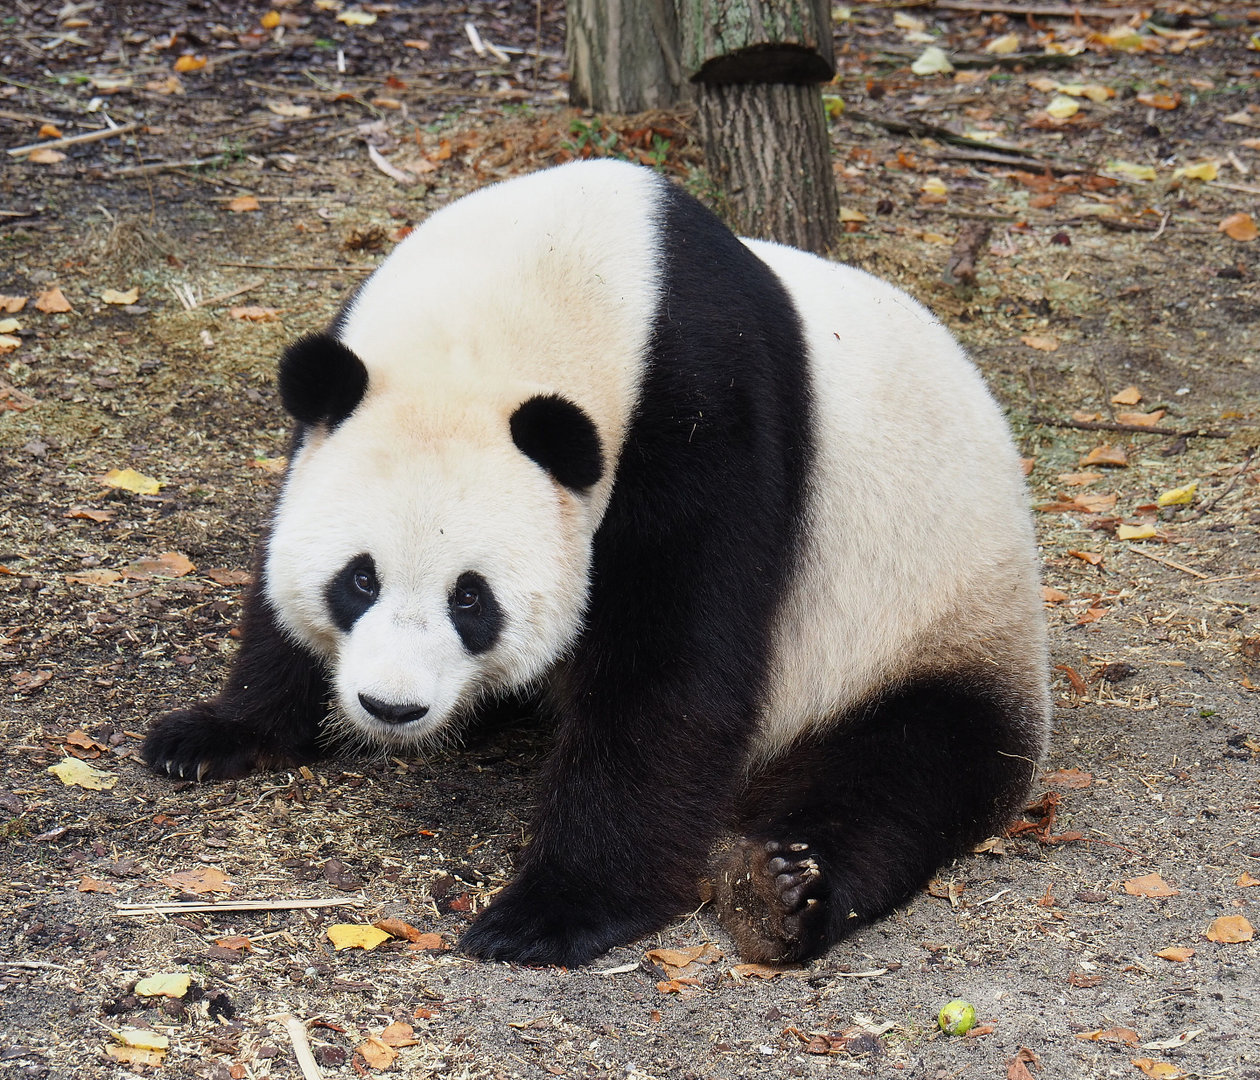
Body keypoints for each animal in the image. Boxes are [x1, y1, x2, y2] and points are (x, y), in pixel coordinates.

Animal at [144, 159, 1050, 967]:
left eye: (471, 599)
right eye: (358, 579)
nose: (390, 706)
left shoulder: (709, 418)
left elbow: (673, 665)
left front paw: (556, 910)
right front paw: (216, 733)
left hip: (935, 618)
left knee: (905, 772)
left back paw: (782, 891)